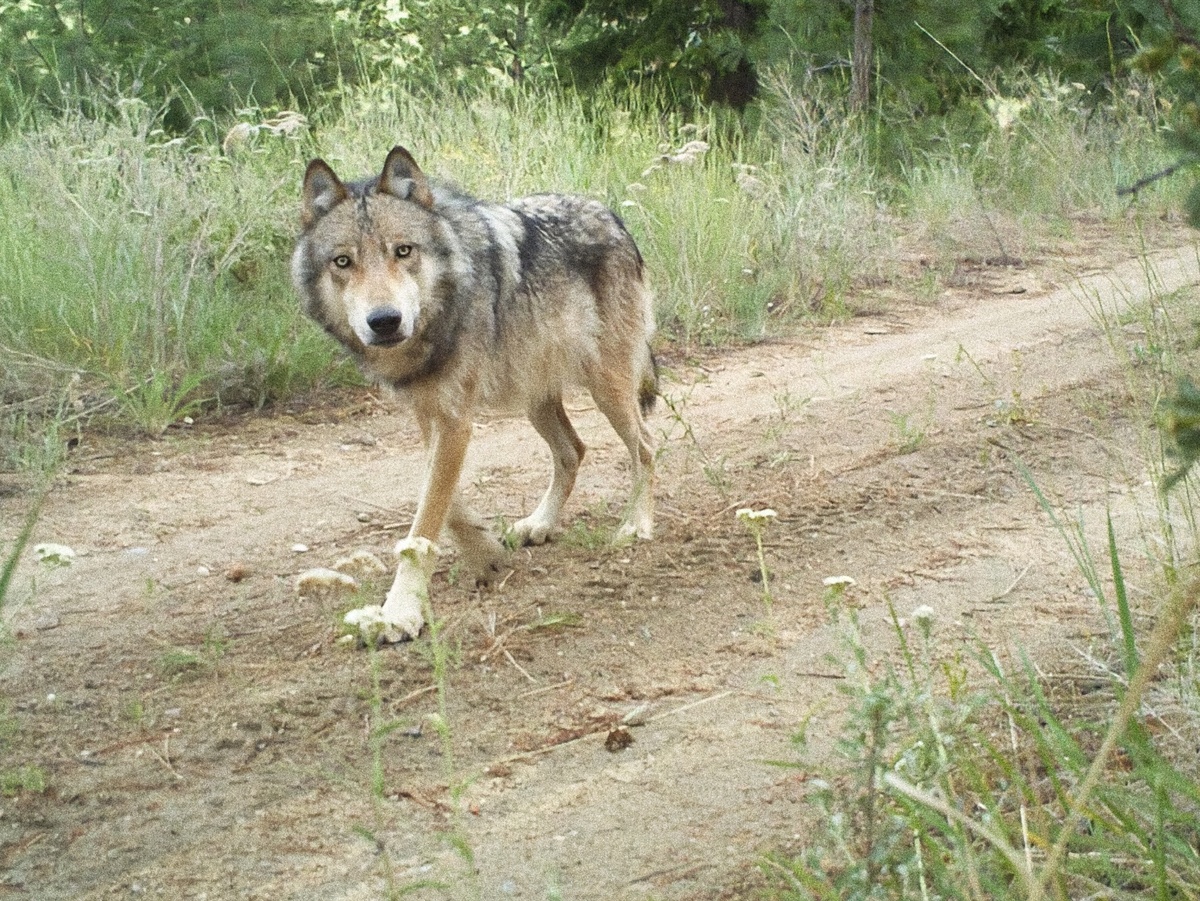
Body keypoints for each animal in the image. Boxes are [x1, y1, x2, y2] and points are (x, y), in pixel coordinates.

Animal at [291, 146, 657, 641]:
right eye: (343, 262)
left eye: (403, 251)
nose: (384, 321)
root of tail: (612, 216)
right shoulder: (430, 415)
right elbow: (441, 503)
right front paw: (485, 554)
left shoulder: (455, 420)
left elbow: (425, 521)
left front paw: (399, 613)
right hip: (534, 395)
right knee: (574, 450)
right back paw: (539, 524)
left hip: (608, 388)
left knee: (645, 448)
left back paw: (636, 526)